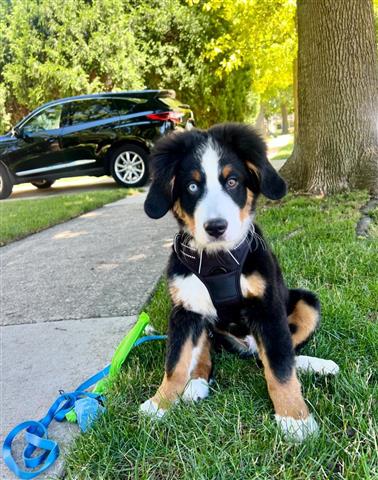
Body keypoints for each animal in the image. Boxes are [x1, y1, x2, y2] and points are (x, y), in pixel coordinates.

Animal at [142, 122, 340, 440]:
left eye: (232, 181)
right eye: (192, 186)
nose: (216, 227)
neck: (218, 262)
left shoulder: (267, 309)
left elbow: (280, 367)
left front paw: (295, 420)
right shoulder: (185, 311)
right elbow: (176, 363)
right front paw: (159, 405)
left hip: (307, 301)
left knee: (276, 355)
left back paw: (314, 365)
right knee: (208, 352)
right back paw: (196, 383)